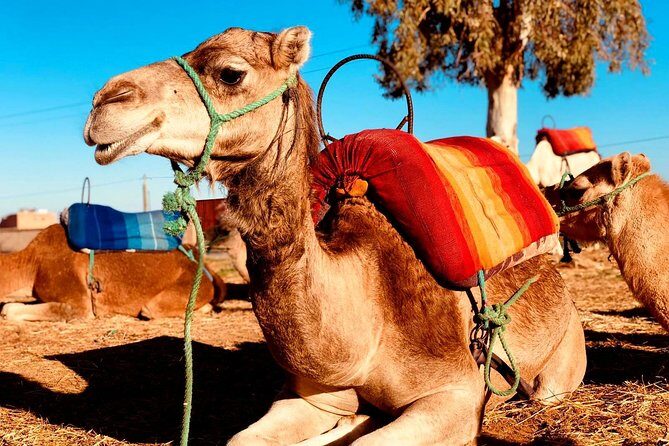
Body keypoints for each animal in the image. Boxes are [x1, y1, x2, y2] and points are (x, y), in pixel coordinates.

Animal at [84, 26, 586, 445]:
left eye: (230, 73)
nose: (104, 101)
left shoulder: (455, 392)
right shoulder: (312, 395)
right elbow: (244, 439)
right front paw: (349, 420)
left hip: (561, 367)